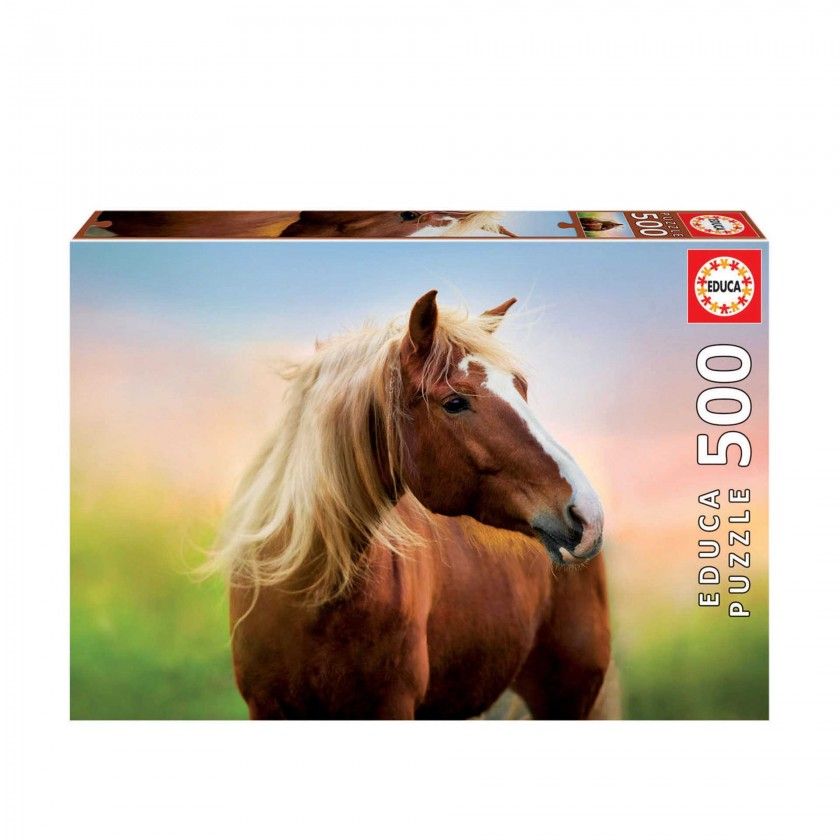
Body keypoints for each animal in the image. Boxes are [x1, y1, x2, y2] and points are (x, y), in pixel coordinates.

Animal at [211, 290, 612, 719]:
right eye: (454, 402)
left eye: (520, 387)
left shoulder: (391, 706)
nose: (587, 513)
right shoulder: (265, 705)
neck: (311, 595)